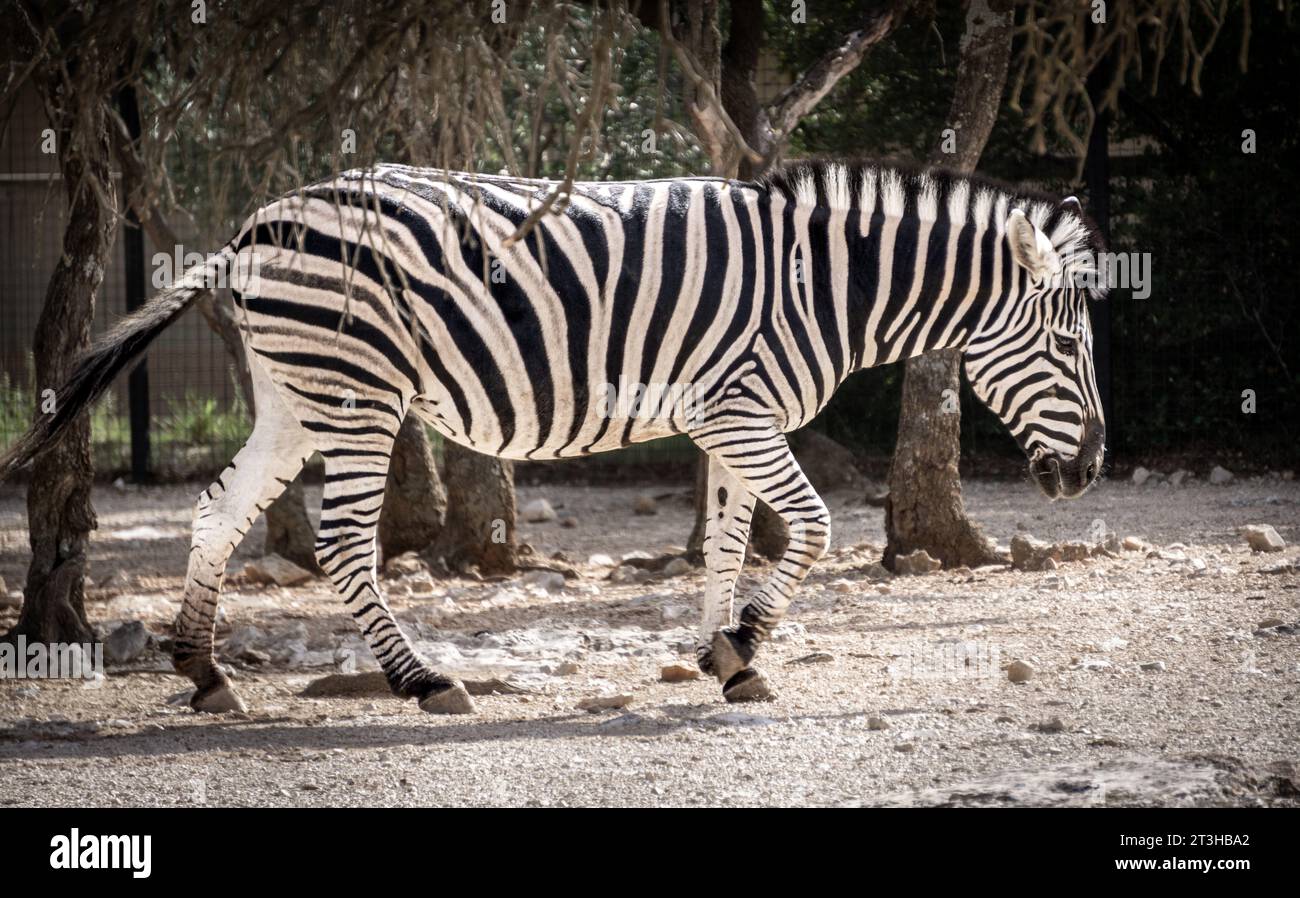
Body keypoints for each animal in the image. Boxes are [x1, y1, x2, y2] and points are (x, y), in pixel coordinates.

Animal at [1, 159, 1107, 713]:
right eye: (1066, 338)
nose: (1092, 468)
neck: (823, 285)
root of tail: (247, 229)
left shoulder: (722, 418)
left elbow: (729, 541)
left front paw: (727, 656)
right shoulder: (741, 411)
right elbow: (813, 527)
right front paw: (745, 643)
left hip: (292, 391)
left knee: (217, 511)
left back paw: (205, 673)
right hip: (358, 392)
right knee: (348, 543)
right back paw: (423, 680)